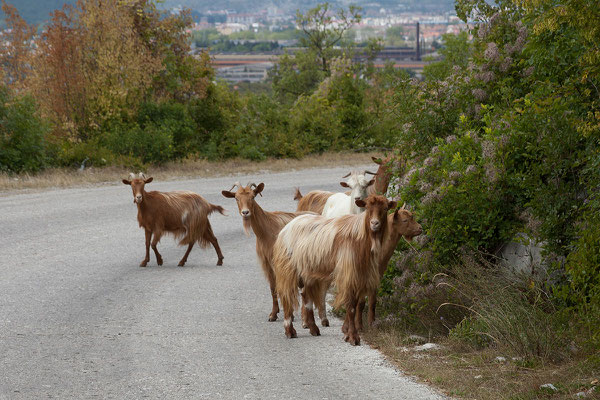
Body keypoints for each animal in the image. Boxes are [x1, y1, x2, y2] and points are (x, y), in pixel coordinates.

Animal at [220, 183, 328, 326]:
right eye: (236, 198)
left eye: (253, 196)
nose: (245, 212)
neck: (266, 230)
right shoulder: (266, 263)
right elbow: (273, 288)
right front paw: (273, 314)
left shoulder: (279, 262)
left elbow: (283, 287)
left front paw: (290, 315)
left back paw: (309, 319)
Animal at [272, 195, 394, 346]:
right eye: (367, 208)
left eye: (385, 208)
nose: (375, 223)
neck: (361, 239)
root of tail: (285, 229)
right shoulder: (348, 275)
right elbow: (351, 306)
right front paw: (353, 337)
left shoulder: (359, 276)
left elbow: (356, 304)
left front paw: (347, 333)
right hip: (288, 269)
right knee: (287, 296)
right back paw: (290, 331)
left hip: (308, 272)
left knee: (306, 297)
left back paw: (313, 329)